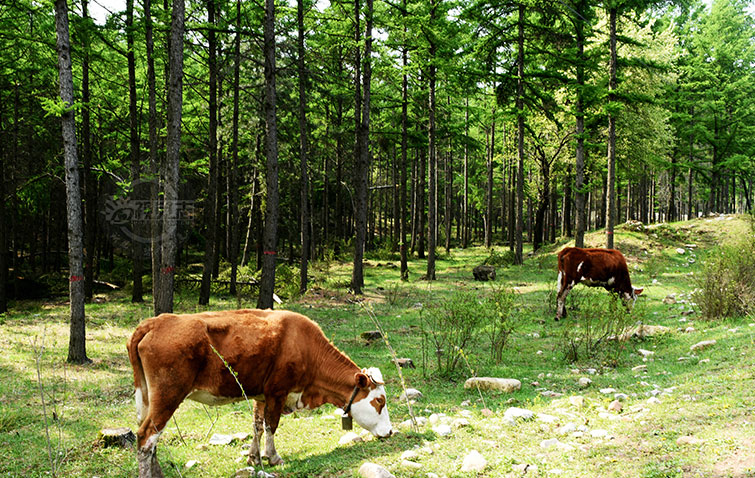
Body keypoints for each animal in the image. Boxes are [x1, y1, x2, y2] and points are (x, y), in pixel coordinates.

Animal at [126, 308, 392, 476]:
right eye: (380, 401)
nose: (390, 431)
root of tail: (155, 322)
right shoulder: (277, 391)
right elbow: (271, 425)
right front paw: (272, 457)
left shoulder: (261, 395)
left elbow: (257, 426)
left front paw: (254, 457)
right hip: (168, 394)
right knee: (147, 436)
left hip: (147, 397)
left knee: (148, 436)